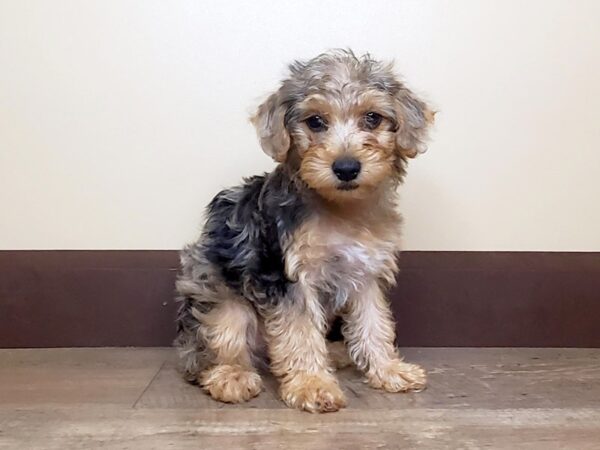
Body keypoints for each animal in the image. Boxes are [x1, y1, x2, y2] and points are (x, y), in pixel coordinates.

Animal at [176, 49, 434, 412]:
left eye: (372, 118)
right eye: (315, 122)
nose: (346, 167)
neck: (339, 208)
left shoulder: (367, 272)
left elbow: (375, 323)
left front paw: (388, 369)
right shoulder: (288, 276)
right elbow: (299, 332)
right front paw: (312, 384)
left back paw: (337, 354)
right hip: (216, 294)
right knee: (218, 346)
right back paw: (232, 376)